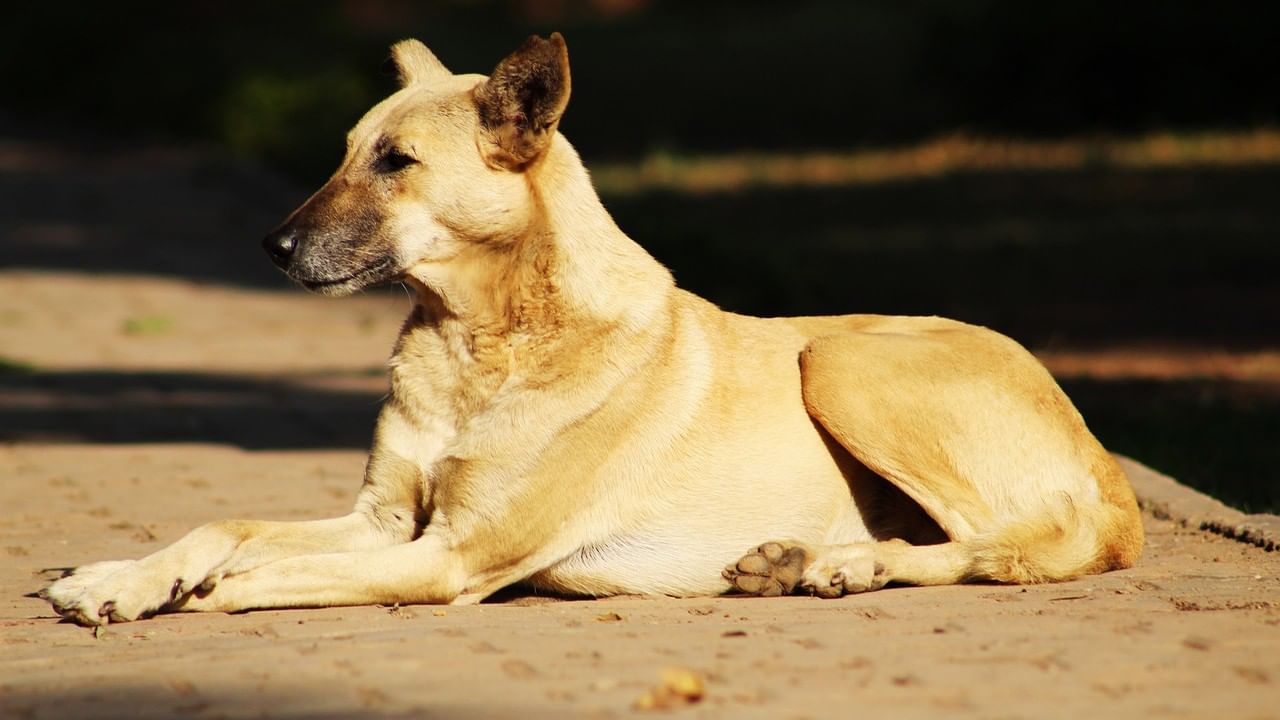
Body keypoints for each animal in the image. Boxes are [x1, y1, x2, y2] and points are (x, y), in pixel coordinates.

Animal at [42, 33, 1141, 622]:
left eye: (396, 162)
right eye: (347, 151)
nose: (271, 247)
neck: (479, 343)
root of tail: (1110, 469)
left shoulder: (446, 557)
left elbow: (265, 567)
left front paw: (184, 590)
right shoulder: (383, 521)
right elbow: (224, 526)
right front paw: (121, 576)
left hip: (837, 358)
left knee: (1013, 542)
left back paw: (843, 562)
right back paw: (803, 562)